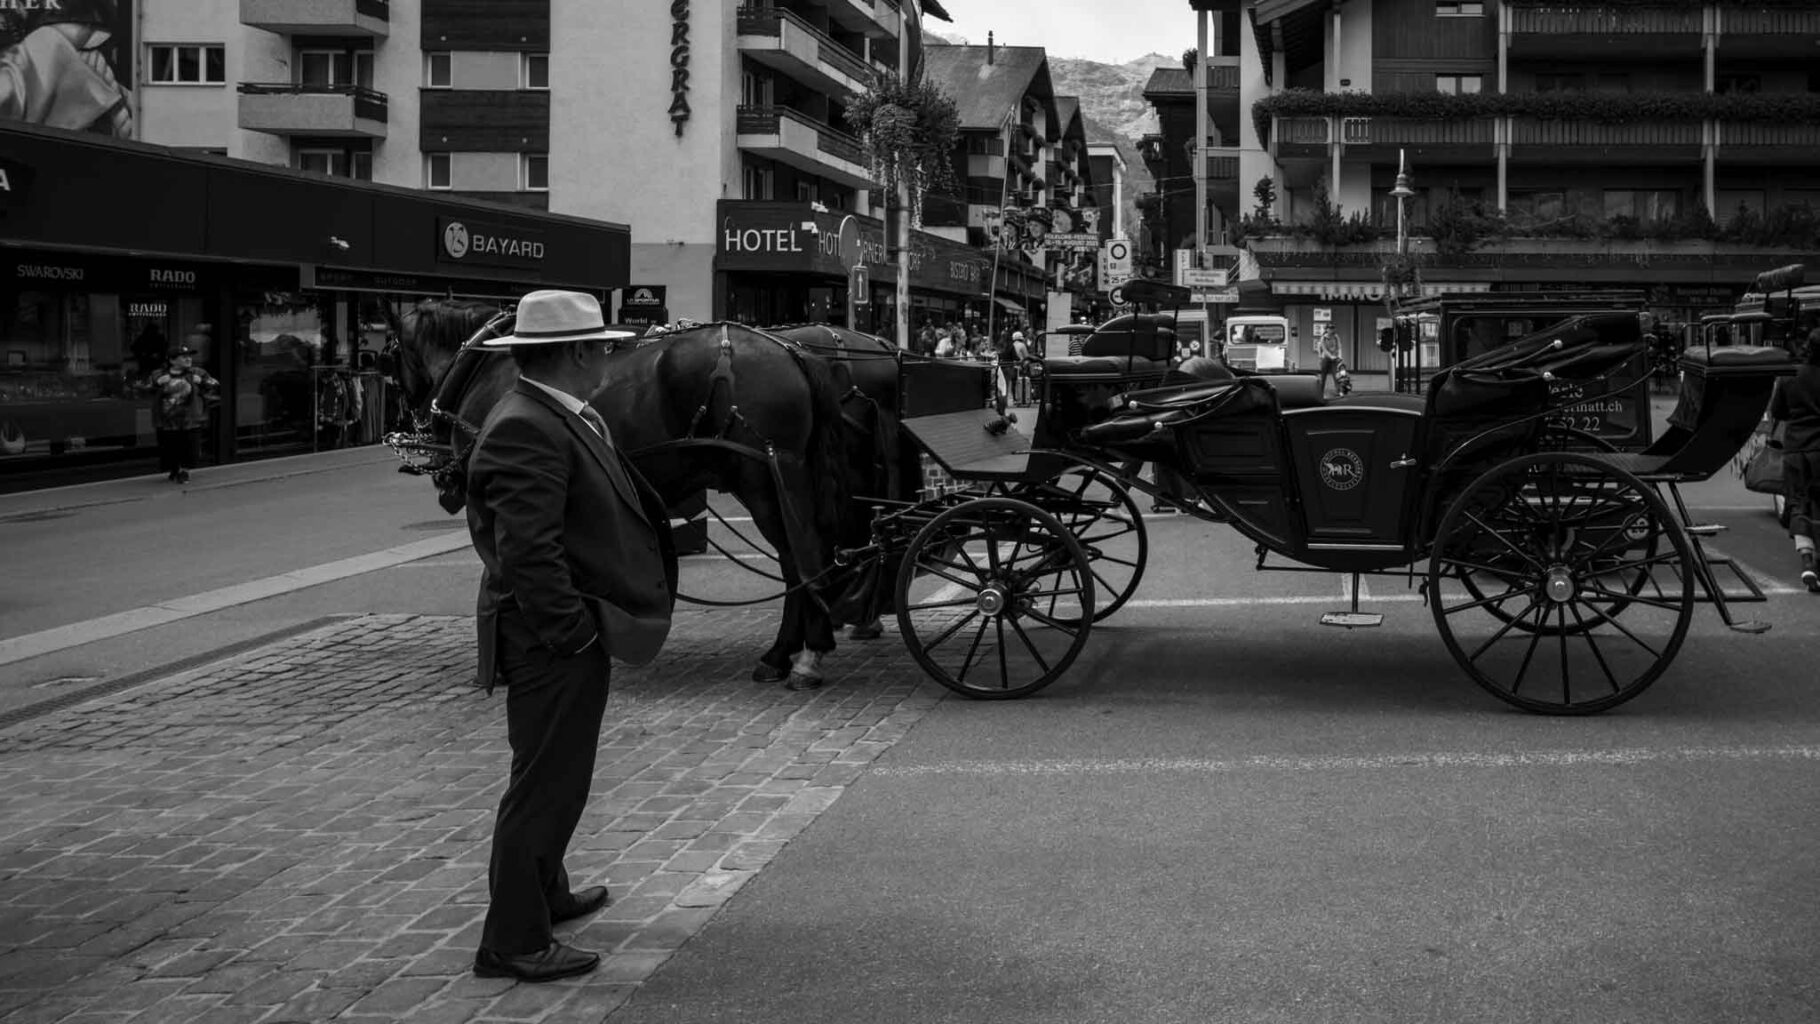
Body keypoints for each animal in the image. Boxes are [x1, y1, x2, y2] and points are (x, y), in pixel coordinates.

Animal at [389, 300, 851, 694]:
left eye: (389, 352)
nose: (409, 426)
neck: (488, 363)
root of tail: (791, 351)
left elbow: (500, 574)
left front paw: (502, 663)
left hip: (763, 483)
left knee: (798, 559)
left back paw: (796, 655)